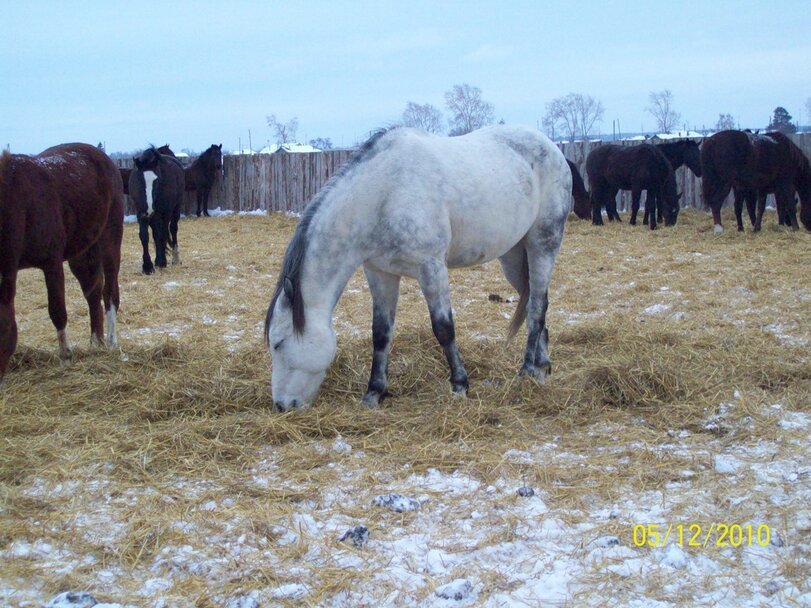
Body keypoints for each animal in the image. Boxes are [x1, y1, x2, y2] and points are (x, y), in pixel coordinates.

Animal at [0, 142, 123, 382]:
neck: (19, 202)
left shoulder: (52, 263)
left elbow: (57, 310)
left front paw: (66, 358)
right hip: (82, 254)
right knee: (93, 293)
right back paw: (96, 343)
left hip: (110, 241)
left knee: (110, 292)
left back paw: (111, 342)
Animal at [266, 125, 572, 410]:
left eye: (278, 343)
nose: (281, 405)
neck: (383, 194)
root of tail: (552, 148)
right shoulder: (380, 273)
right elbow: (380, 333)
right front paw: (374, 393)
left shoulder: (431, 268)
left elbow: (444, 328)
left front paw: (460, 385)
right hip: (513, 257)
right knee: (532, 301)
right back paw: (543, 366)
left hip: (542, 244)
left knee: (537, 307)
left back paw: (527, 370)